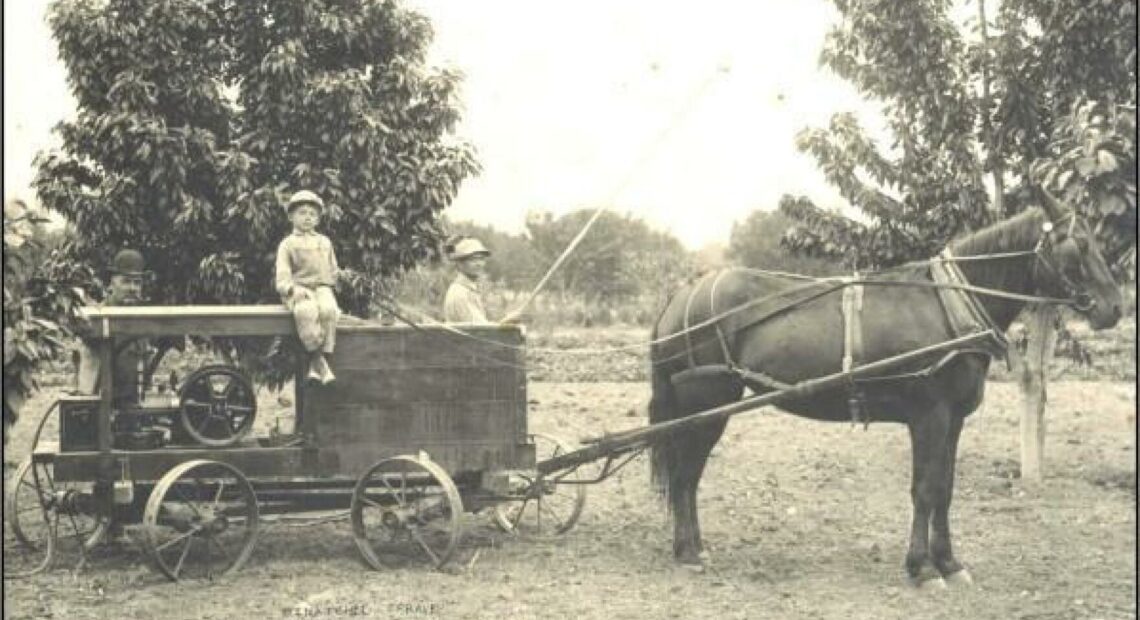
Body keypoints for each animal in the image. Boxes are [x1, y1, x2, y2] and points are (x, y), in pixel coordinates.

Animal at [652, 188, 1121, 588]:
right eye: (1079, 245)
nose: (1115, 307)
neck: (950, 305)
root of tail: (683, 294)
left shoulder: (953, 421)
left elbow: (945, 489)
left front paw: (949, 563)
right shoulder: (929, 416)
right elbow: (925, 490)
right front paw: (922, 569)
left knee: (687, 475)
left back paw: (693, 547)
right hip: (707, 404)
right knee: (686, 475)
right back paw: (688, 551)